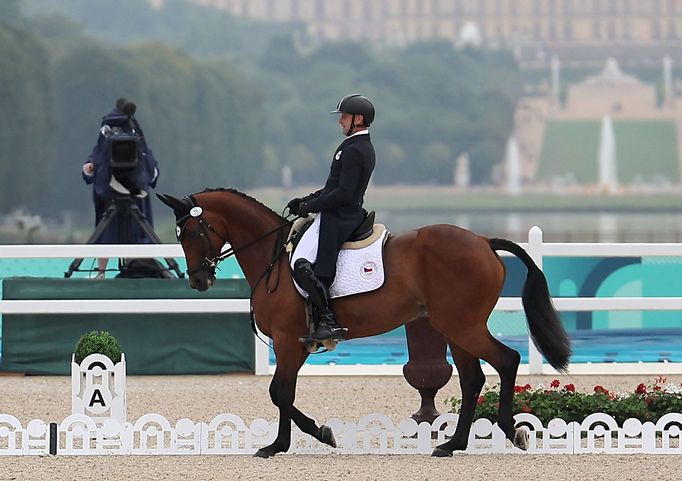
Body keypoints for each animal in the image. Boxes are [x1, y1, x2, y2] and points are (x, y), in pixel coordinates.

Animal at [157, 188, 564, 458]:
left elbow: (280, 393)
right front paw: (304, 436)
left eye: (190, 232)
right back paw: (453, 444)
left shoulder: (288, 340)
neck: (275, 258)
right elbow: (282, 392)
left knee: (507, 361)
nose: (199, 281)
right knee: (473, 378)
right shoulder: (299, 343)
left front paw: (295, 440)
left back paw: (511, 432)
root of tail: (483, 241)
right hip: (455, 327)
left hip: (462, 326)